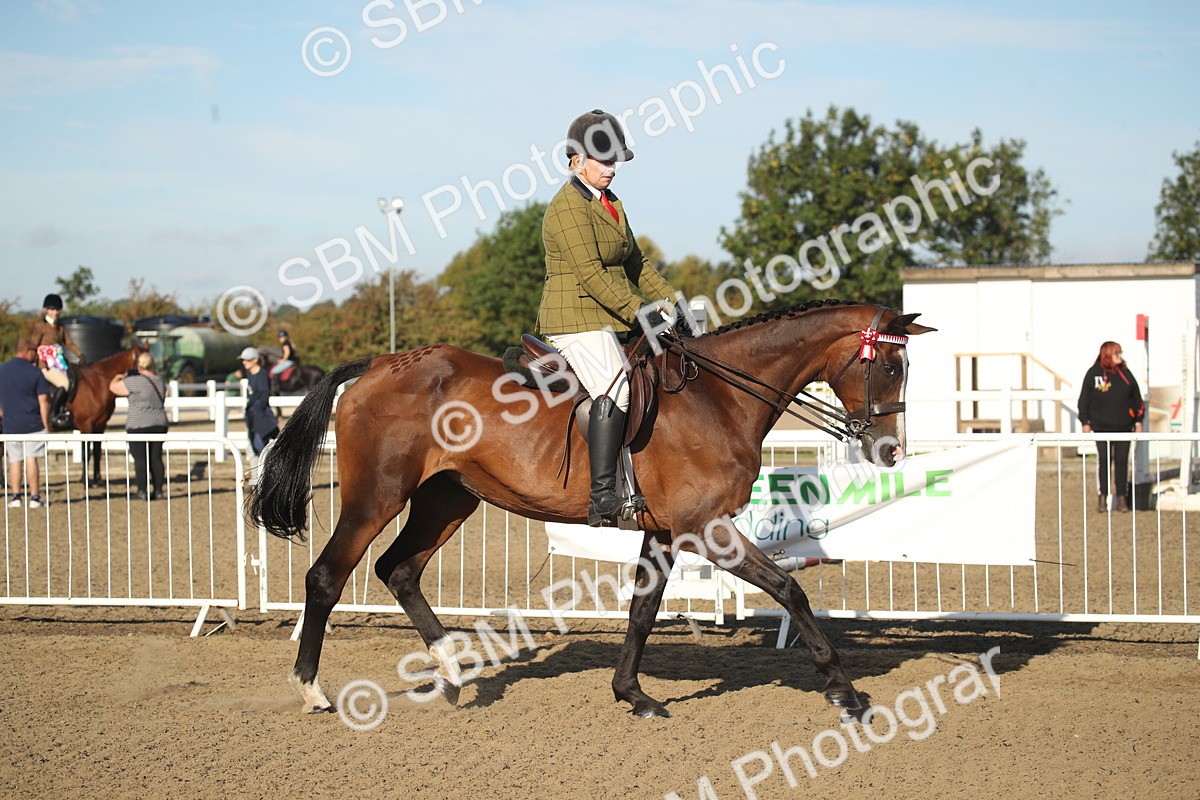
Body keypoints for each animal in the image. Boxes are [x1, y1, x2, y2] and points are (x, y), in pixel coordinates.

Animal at [63, 344, 147, 483]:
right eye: (141, 366)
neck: (98, 383)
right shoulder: (86, 426)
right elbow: (86, 453)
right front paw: (85, 480)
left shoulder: (99, 425)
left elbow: (97, 451)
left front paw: (97, 480)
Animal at [249, 300, 934, 718]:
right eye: (890, 365)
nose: (891, 449)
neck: (719, 399)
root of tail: (384, 362)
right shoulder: (707, 529)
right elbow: (790, 590)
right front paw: (844, 689)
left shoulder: (666, 532)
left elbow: (642, 611)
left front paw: (633, 694)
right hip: (376, 497)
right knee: (327, 577)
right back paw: (312, 690)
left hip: (447, 499)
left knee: (399, 569)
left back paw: (453, 669)